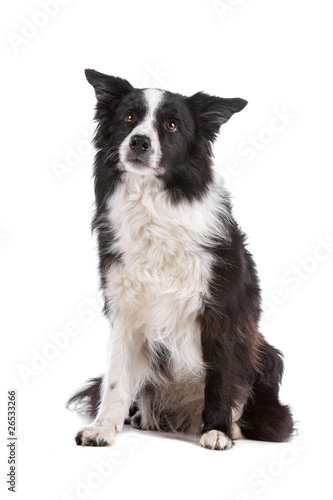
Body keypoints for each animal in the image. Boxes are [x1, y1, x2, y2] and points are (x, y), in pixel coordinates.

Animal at [68, 69, 294, 450]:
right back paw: (142, 417)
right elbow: (116, 377)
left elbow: (220, 378)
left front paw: (218, 430)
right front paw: (103, 428)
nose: (139, 142)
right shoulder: (124, 307)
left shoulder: (220, 311)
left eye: (172, 125)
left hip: (267, 354)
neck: (154, 204)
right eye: (129, 118)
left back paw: (230, 426)